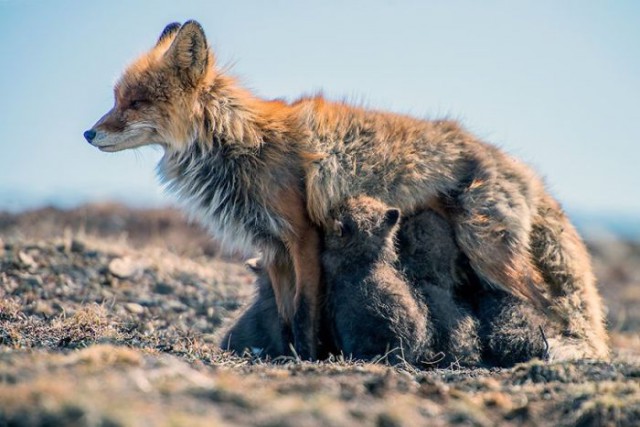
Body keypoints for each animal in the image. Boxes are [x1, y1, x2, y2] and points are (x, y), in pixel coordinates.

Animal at [85, 20, 608, 362]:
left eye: (136, 103)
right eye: (115, 99)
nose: (88, 134)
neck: (241, 144)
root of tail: (526, 170)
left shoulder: (302, 237)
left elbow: (305, 314)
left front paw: (309, 358)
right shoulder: (273, 248)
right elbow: (286, 316)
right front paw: (285, 355)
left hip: (488, 251)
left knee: (546, 303)